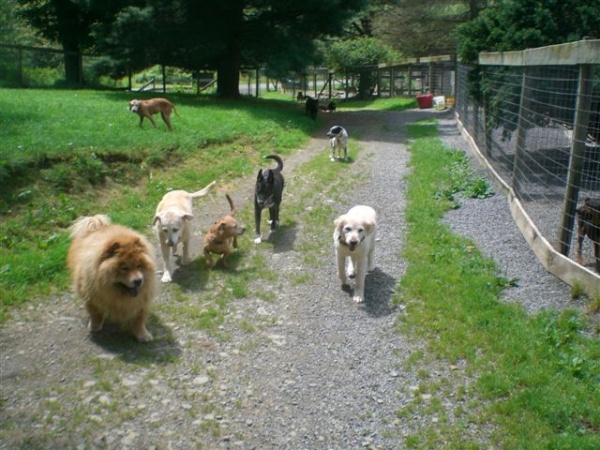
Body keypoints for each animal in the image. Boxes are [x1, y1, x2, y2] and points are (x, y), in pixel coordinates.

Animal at [68, 214, 157, 342]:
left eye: (139, 266)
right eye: (124, 268)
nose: (138, 280)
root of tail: (96, 225)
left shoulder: (141, 301)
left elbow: (139, 321)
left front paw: (143, 335)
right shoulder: (91, 297)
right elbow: (95, 314)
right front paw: (95, 327)